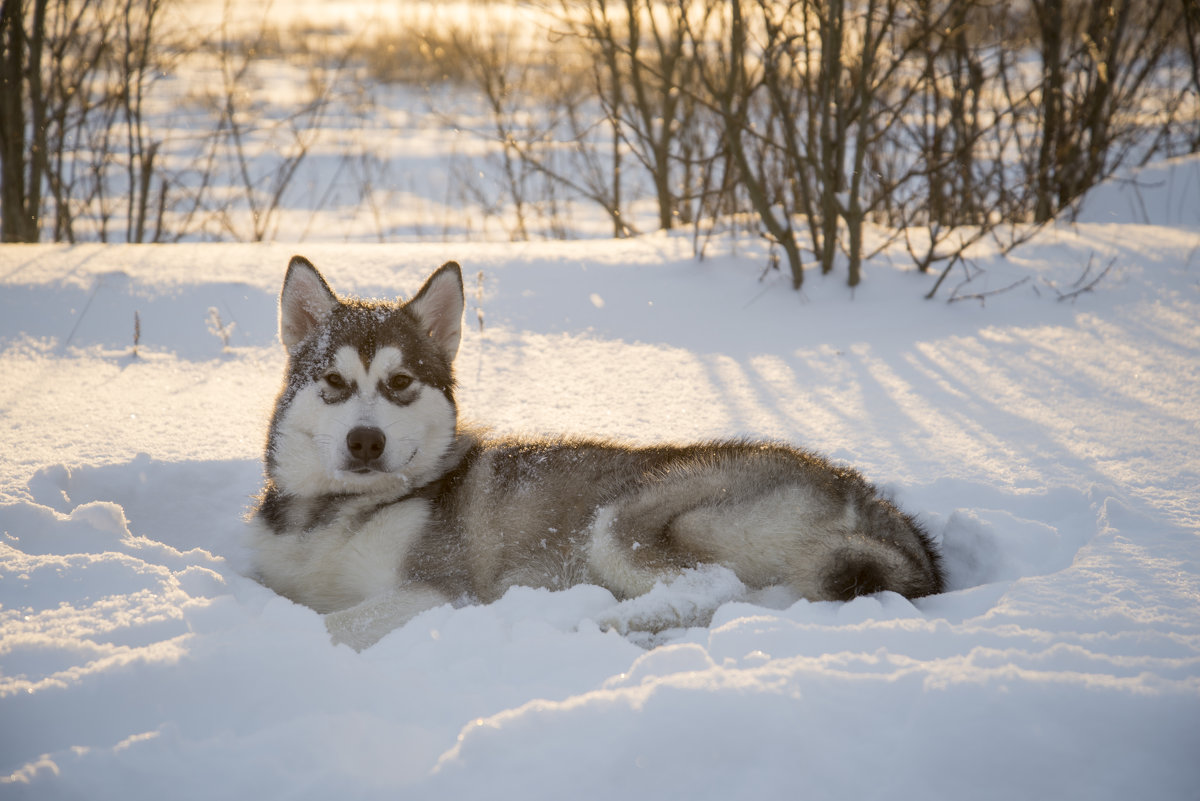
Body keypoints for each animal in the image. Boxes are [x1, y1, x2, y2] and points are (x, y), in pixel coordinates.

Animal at [250, 256, 945, 652]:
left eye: (399, 382)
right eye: (334, 382)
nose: (365, 441)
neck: (334, 510)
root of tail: (865, 493)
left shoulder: (439, 592)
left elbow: (336, 627)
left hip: (623, 520)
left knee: (718, 590)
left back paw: (593, 626)